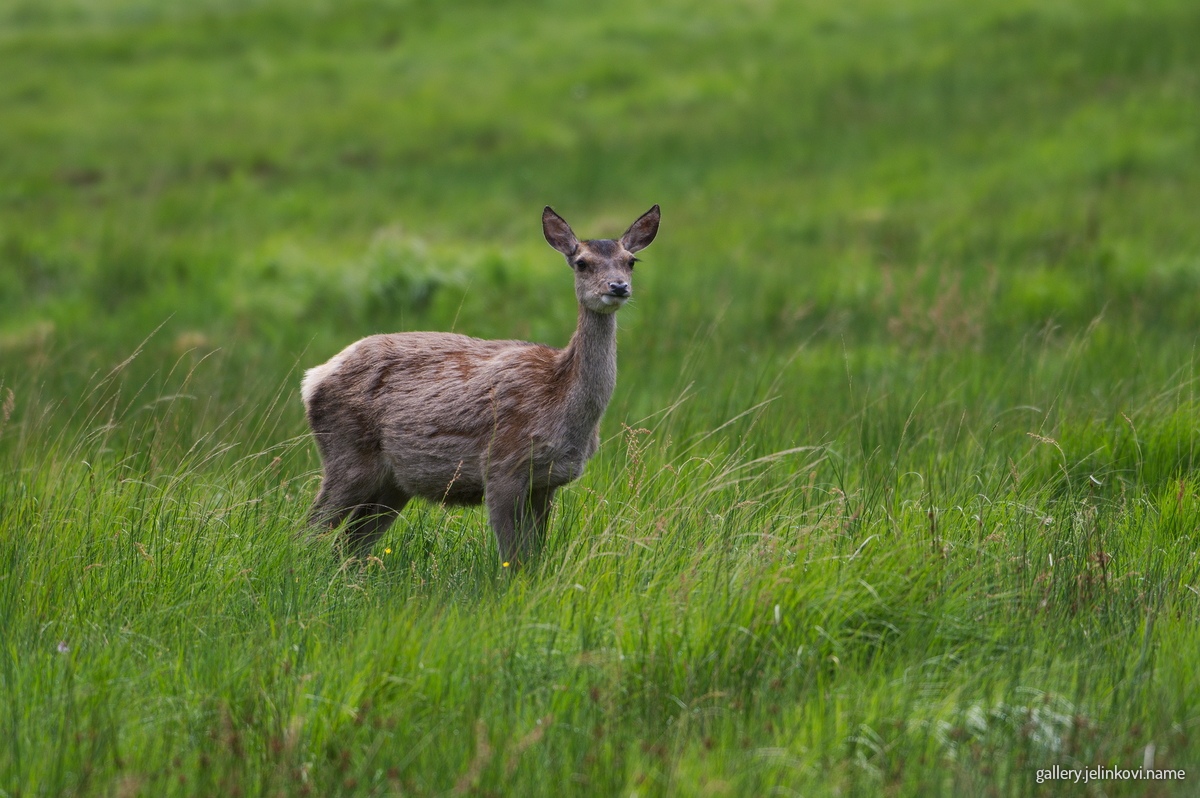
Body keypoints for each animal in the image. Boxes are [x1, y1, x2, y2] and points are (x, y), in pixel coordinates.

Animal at [301, 205, 660, 565]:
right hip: (347, 453)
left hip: (393, 483)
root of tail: (313, 379)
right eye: (582, 262)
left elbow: (535, 557)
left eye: (631, 261)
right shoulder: (502, 465)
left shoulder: (547, 482)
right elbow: (513, 558)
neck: (559, 397)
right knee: (311, 527)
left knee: (349, 543)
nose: (618, 287)